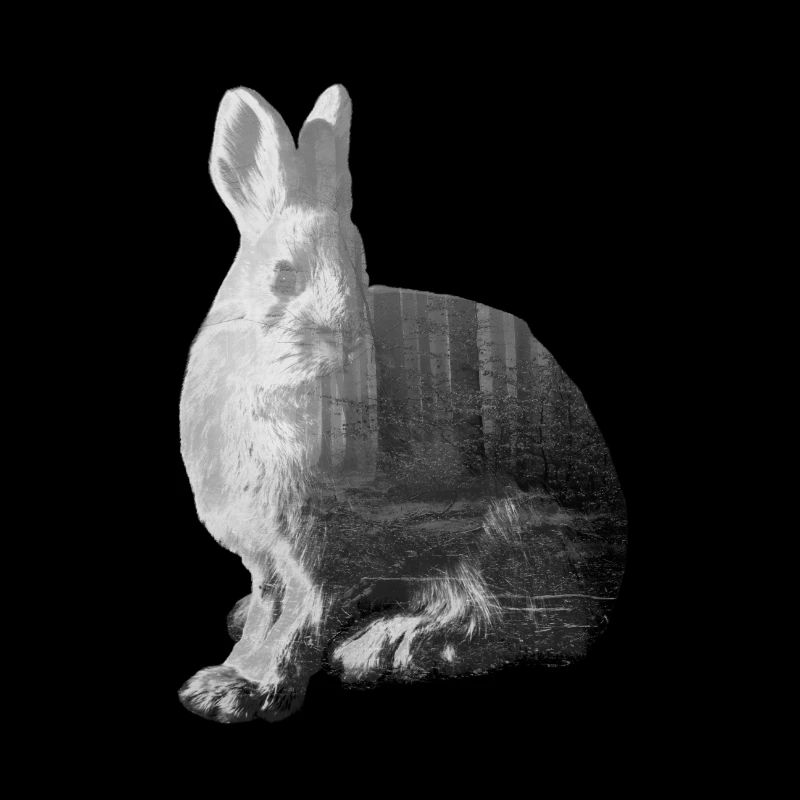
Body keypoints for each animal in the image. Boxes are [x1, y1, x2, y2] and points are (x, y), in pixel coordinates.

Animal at [178, 84, 620, 723]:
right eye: (283, 275)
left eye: (358, 273)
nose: (345, 341)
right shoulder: (268, 560)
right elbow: (267, 610)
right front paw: (230, 672)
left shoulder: (322, 551)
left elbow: (298, 620)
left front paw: (243, 690)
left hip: (508, 531)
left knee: (528, 625)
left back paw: (390, 644)